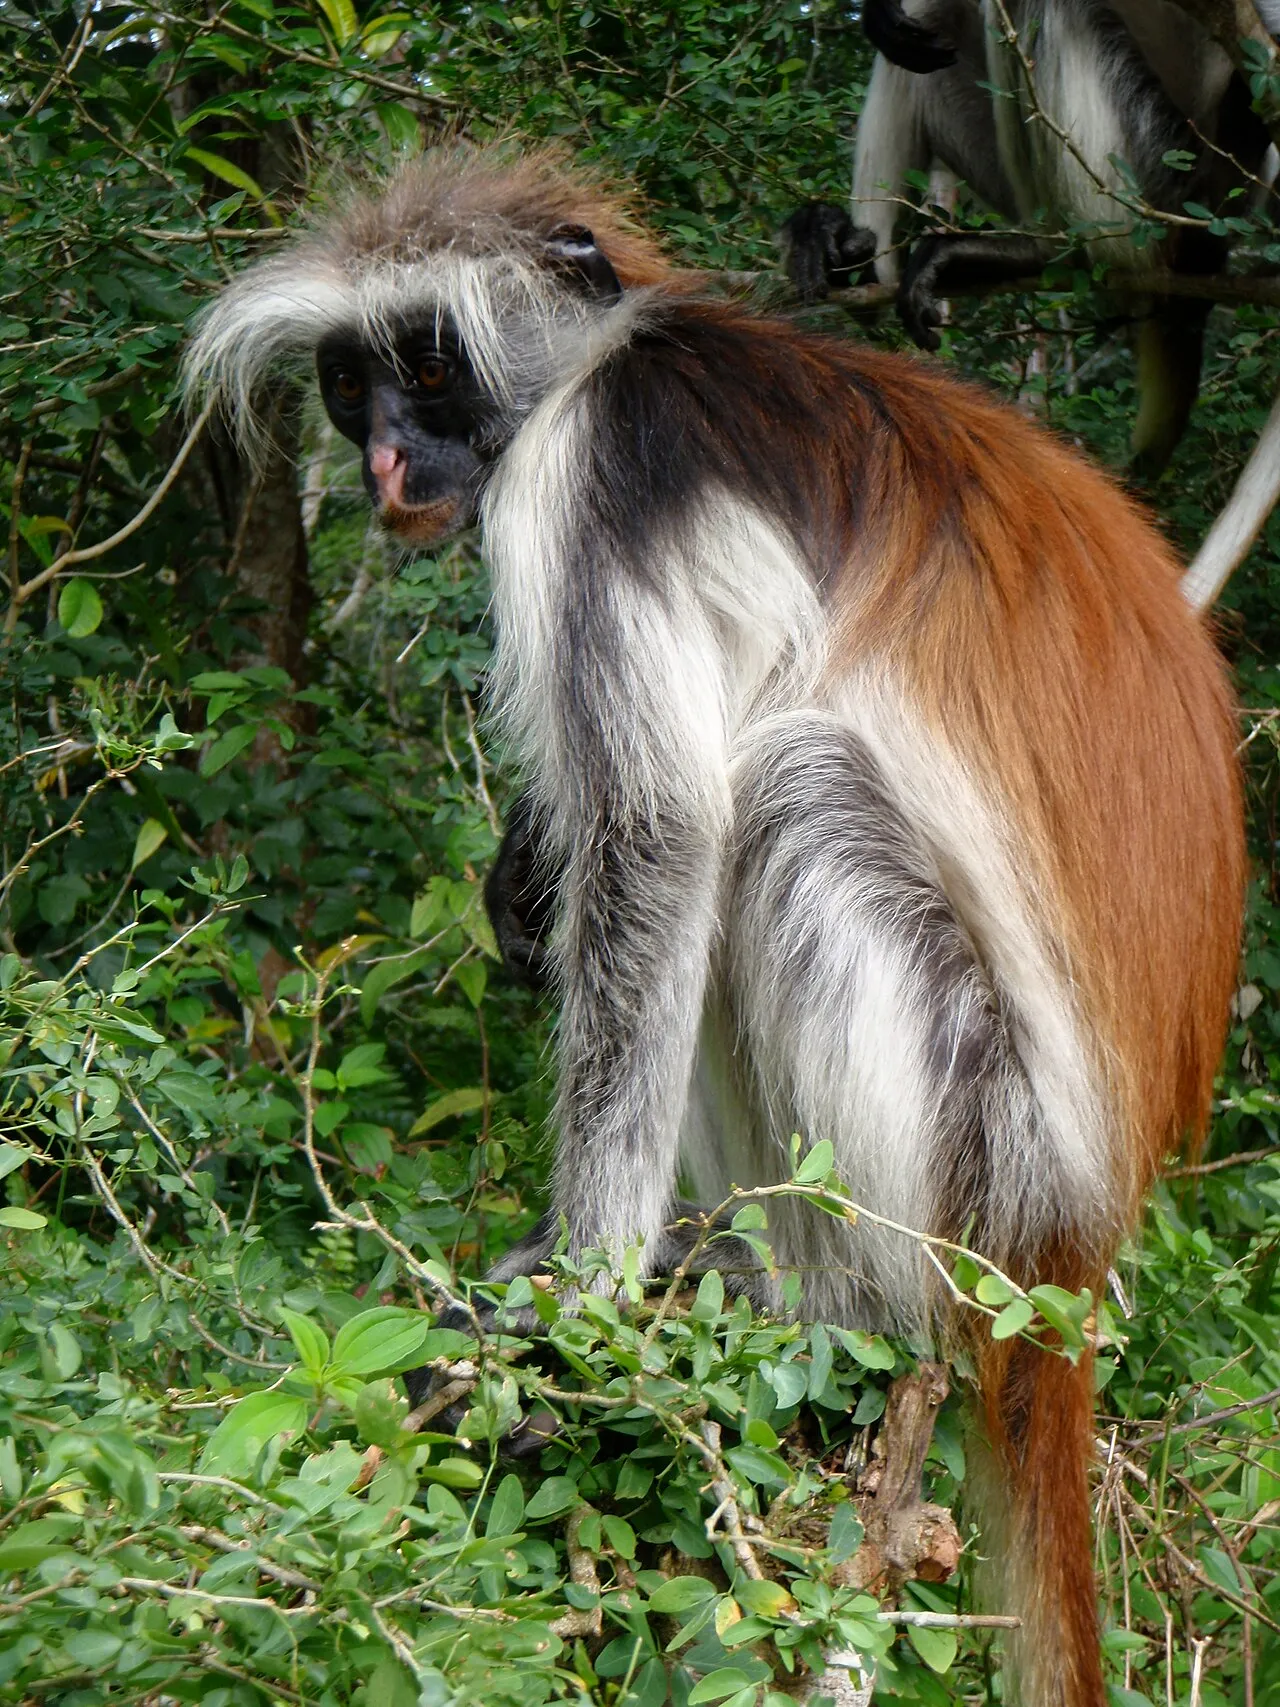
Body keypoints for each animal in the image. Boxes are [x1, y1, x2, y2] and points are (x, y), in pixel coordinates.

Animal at [184, 146, 1244, 1707]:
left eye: (428, 369)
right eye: (346, 383)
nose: (381, 462)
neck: (607, 352)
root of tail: (1077, 1252)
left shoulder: (594, 473)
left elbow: (663, 839)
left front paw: (574, 1309)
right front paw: (520, 877)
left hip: (983, 1167)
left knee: (780, 802)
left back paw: (830, 1303)